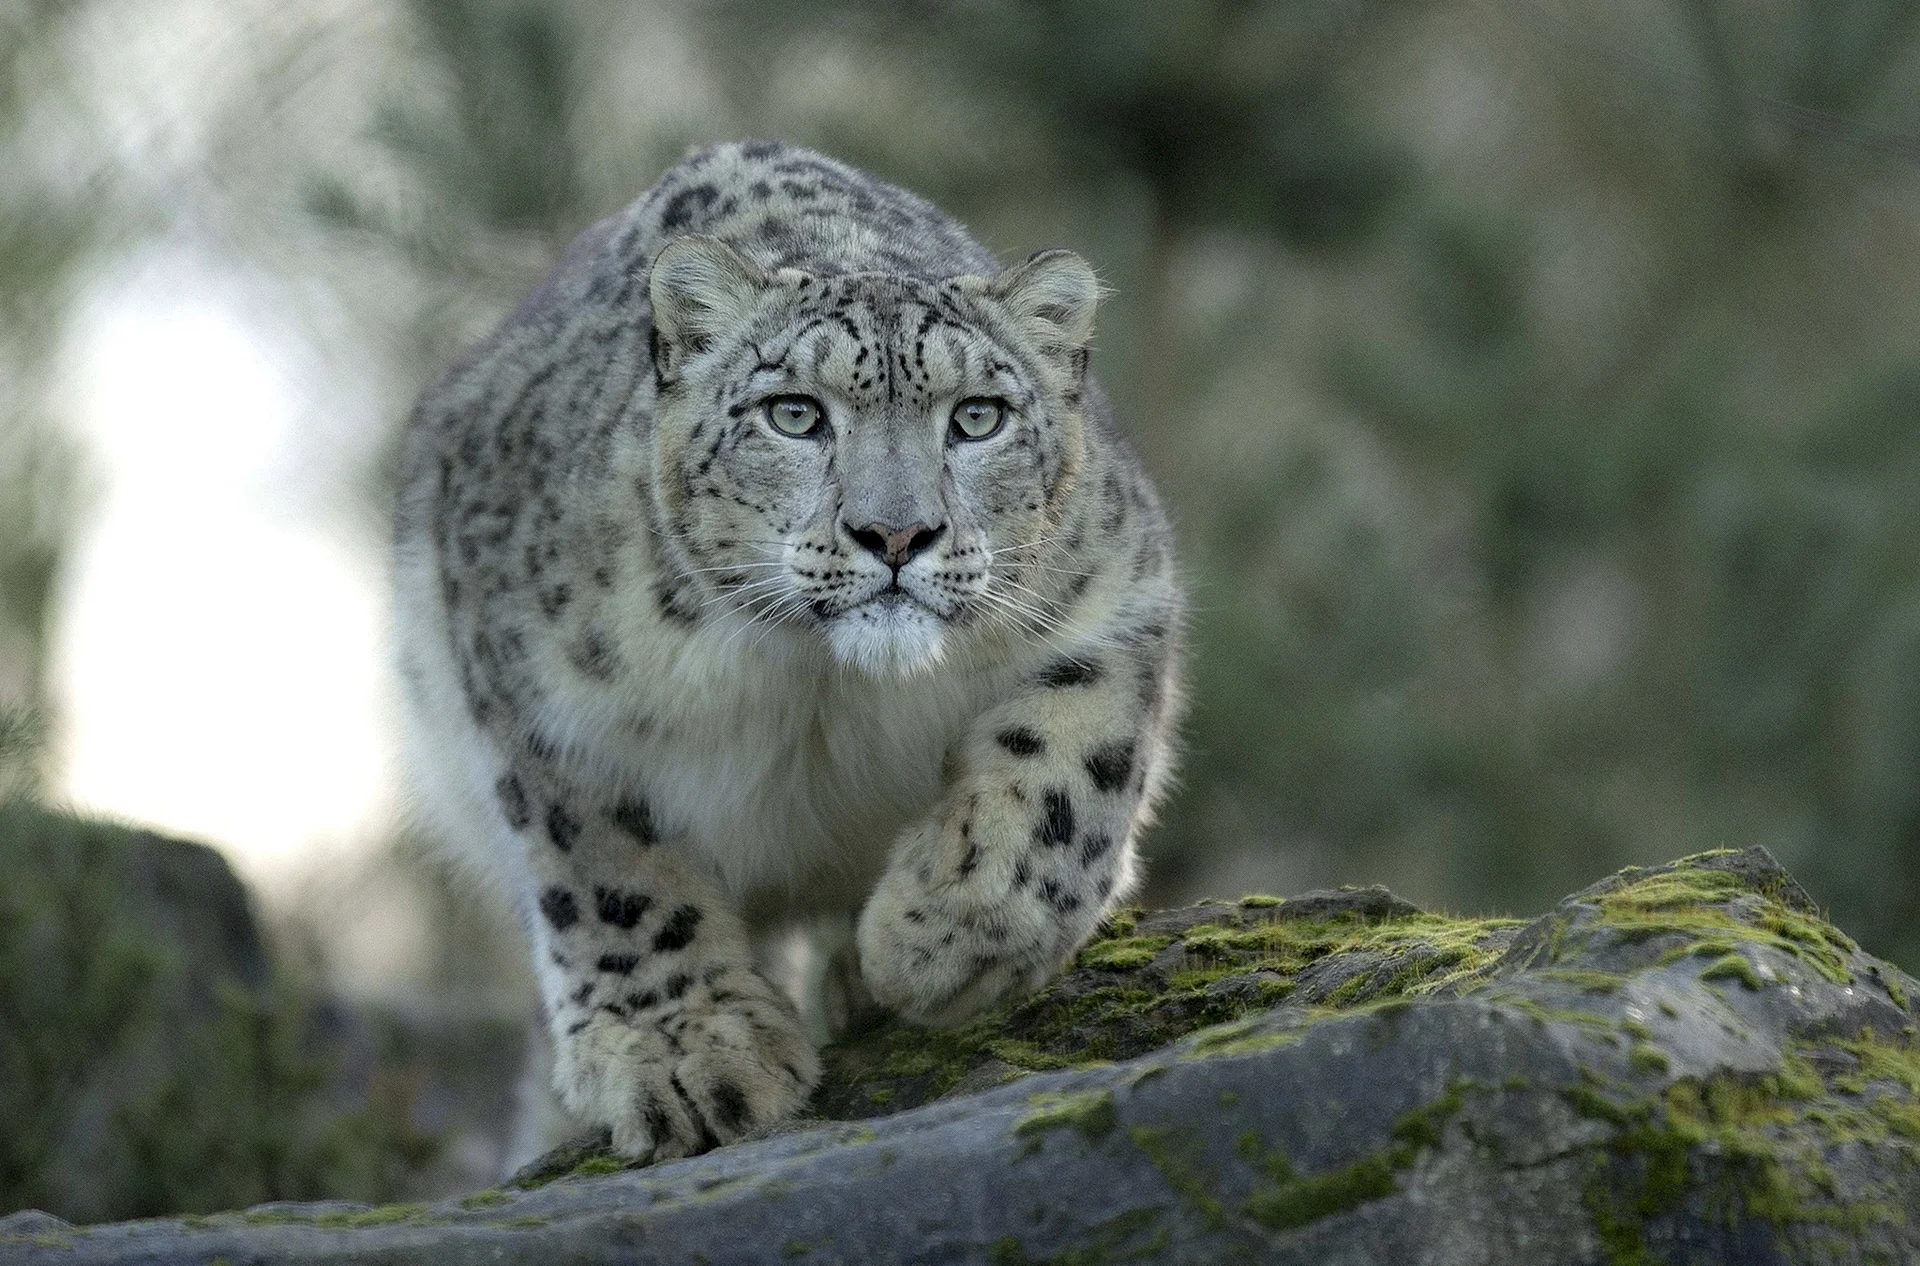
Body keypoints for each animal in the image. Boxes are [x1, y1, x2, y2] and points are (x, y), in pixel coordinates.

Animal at [391, 141, 1182, 1168]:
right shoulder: (535, 691)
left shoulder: (1119, 596)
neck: (823, 686)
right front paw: (689, 1056)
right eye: (796, 414)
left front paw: (941, 940)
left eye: (977, 417)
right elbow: (608, 870)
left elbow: (1065, 771)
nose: (896, 533)